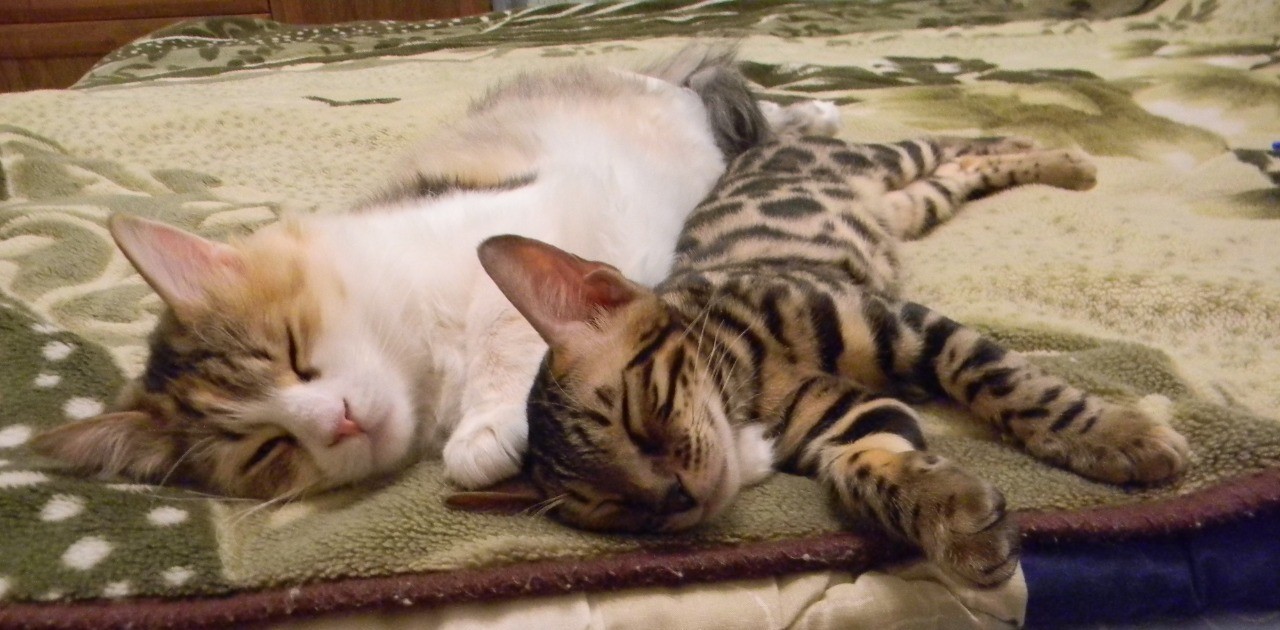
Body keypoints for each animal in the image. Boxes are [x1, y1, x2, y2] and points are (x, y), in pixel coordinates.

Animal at [32, 46, 839, 499]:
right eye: (268, 449)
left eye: (293, 354)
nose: (340, 420)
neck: (423, 369)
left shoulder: (522, 226)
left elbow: (507, 320)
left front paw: (486, 428)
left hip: (683, 117)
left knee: (733, 103)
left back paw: (815, 111)